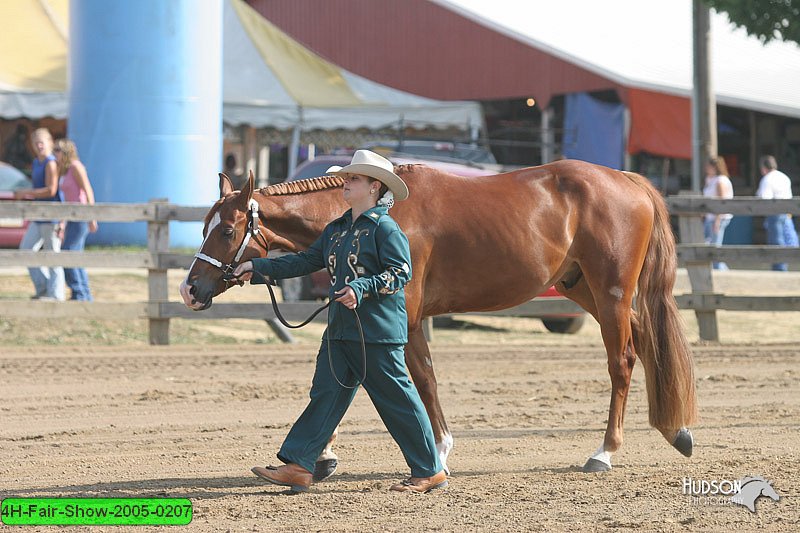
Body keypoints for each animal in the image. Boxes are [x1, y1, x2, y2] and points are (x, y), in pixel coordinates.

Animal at [181, 159, 692, 474]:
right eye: (205, 225)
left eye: (226, 230)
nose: (190, 290)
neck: (379, 212)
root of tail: (626, 179)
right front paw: (323, 455)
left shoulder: (404, 316)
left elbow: (420, 378)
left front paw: (439, 452)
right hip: (582, 288)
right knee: (647, 345)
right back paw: (677, 430)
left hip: (611, 293)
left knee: (622, 362)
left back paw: (604, 453)